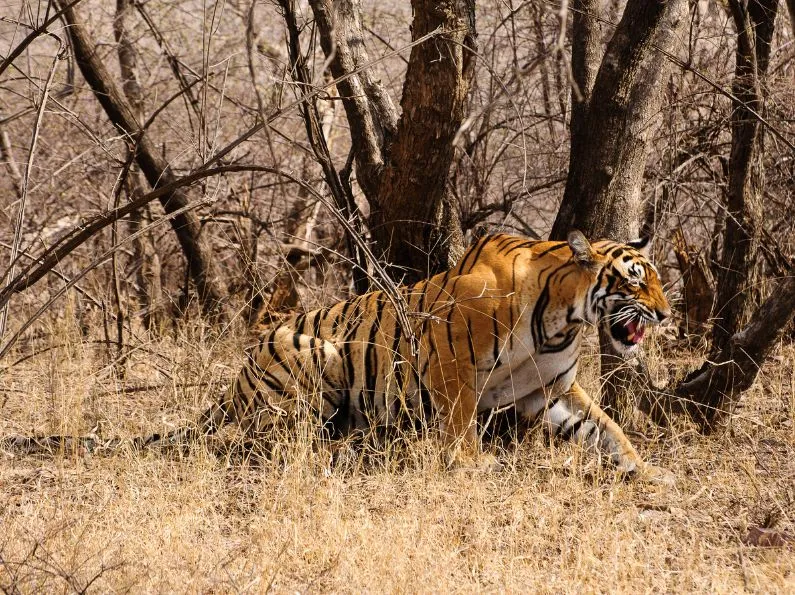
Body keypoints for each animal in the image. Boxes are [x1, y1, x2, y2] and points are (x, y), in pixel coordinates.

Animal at [145, 230, 672, 482]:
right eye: (634, 281)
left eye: (658, 279)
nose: (666, 314)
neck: (562, 318)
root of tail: (241, 369)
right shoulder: (448, 357)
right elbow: (459, 421)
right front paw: (471, 463)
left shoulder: (550, 390)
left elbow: (607, 428)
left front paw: (645, 469)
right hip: (318, 355)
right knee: (275, 441)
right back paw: (348, 450)